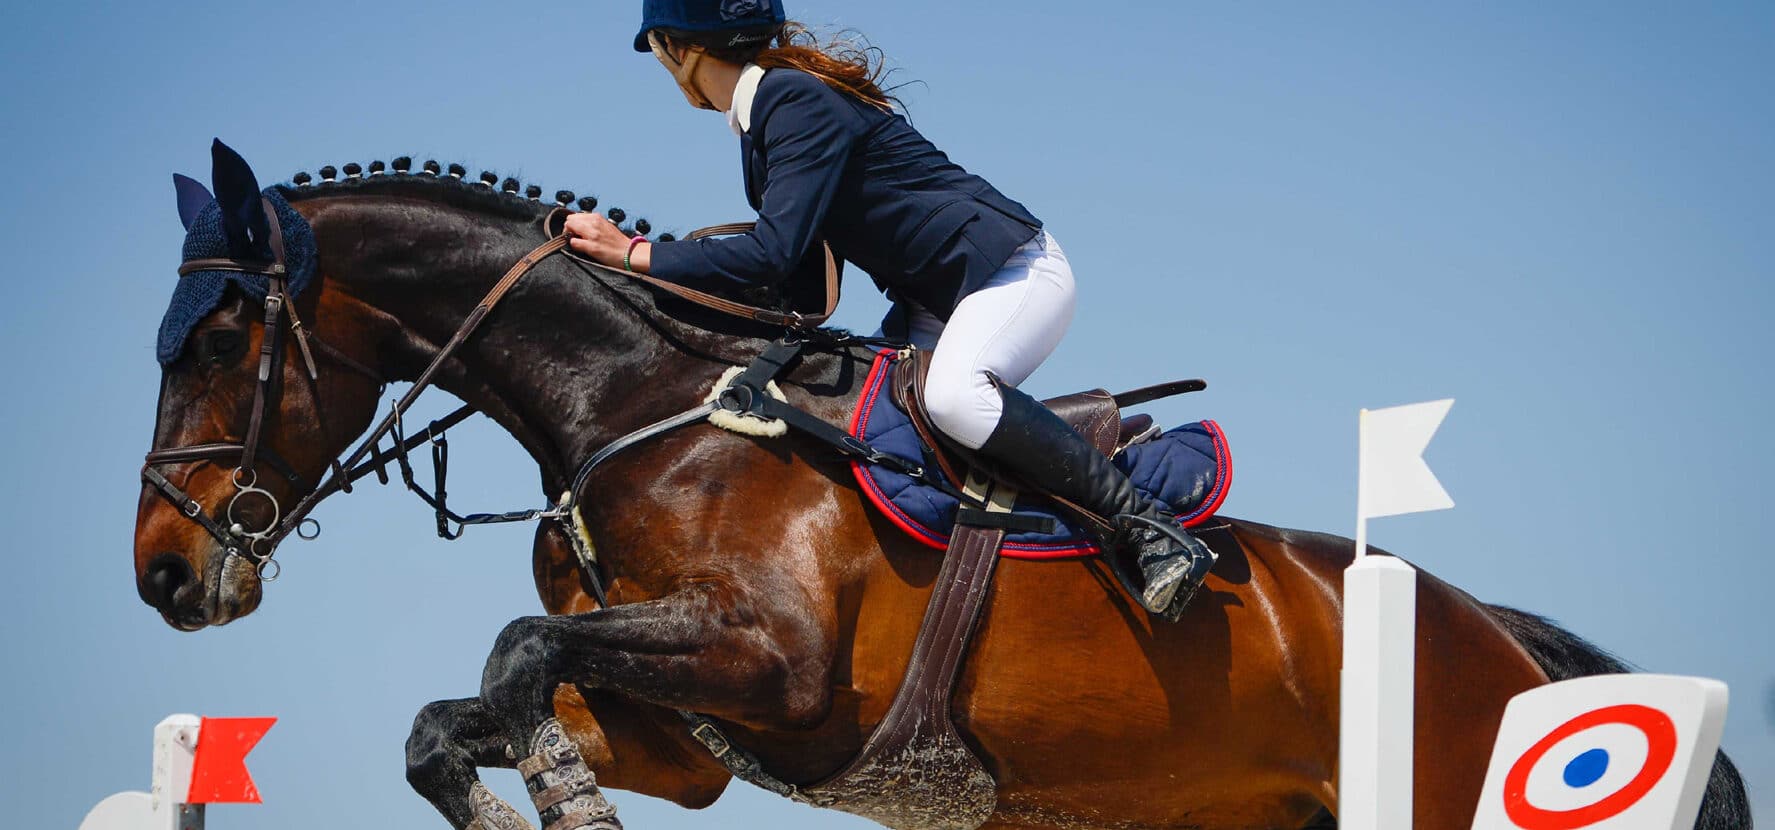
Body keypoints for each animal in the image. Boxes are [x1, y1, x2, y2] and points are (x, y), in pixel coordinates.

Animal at [134, 148, 1746, 830]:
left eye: (213, 342)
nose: (162, 573)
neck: (635, 409)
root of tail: (1501, 637)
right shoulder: (686, 733)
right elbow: (459, 714)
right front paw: (534, 792)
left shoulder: (773, 661)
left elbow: (516, 651)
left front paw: (561, 803)